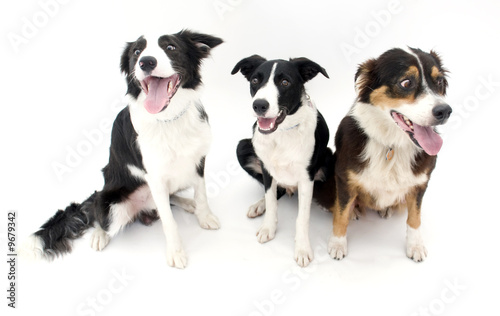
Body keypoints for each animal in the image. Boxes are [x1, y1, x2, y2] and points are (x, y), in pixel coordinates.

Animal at [20, 29, 223, 268]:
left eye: (170, 47)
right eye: (137, 52)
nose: (146, 62)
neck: (169, 119)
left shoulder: (198, 160)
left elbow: (201, 194)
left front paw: (204, 215)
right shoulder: (155, 176)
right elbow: (169, 221)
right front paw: (175, 251)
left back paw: (187, 203)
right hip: (112, 208)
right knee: (98, 213)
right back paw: (99, 234)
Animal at [231, 56, 332, 266]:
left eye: (285, 82)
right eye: (255, 80)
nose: (259, 105)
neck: (283, 133)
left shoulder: (306, 178)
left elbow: (302, 217)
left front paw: (302, 248)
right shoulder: (267, 169)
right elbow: (271, 201)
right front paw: (268, 227)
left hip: (327, 158)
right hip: (242, 147)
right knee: (277, 192)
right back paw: (259, 205)